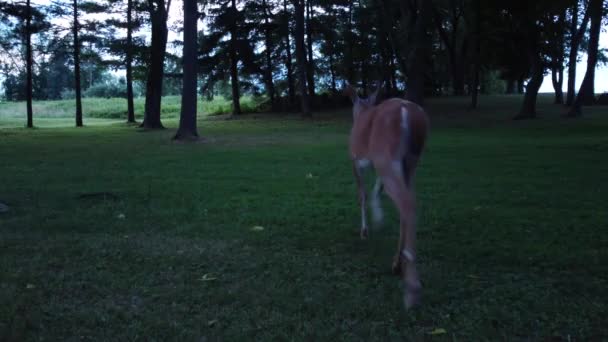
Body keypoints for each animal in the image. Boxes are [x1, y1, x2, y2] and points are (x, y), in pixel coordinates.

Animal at [344, 83, 430, 310]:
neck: (362, 110)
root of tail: (407, 112)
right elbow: (376, 190)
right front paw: (379, 218)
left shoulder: (355, 160)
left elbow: (362, 194)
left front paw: (365, 231)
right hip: (410, 160)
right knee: (408, 203)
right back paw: (397, 264)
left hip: (386, 154)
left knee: (407, 203)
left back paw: (411, 289)